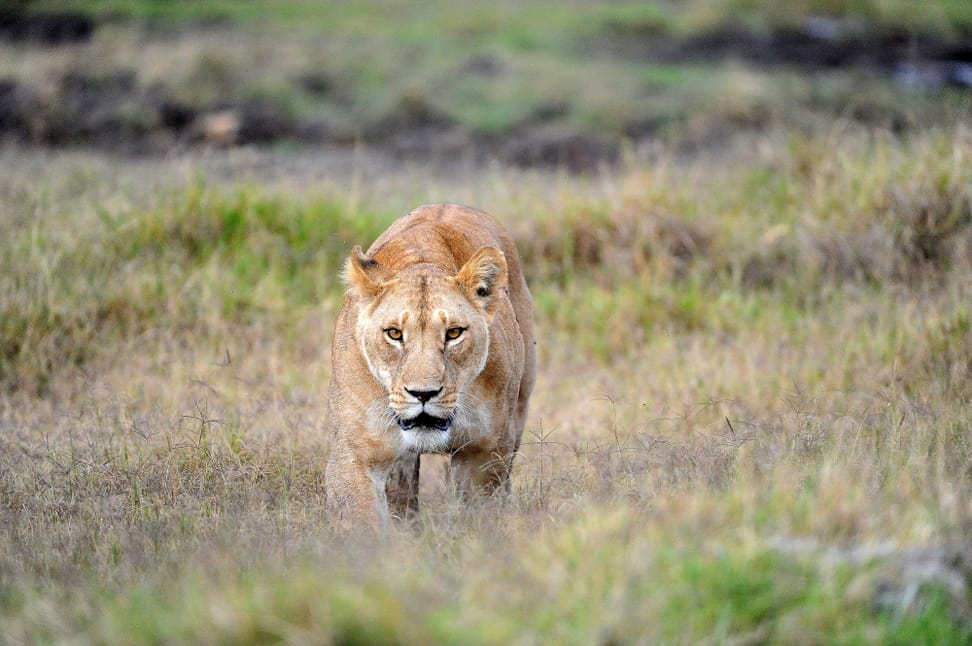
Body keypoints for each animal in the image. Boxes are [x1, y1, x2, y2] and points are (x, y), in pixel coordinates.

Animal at [324, 203, 536, 528]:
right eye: (394, 334)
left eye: (454, 333)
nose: (423, 394)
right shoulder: (354, 454)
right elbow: (363, 522)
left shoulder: (484, 451)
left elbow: (477, 517)